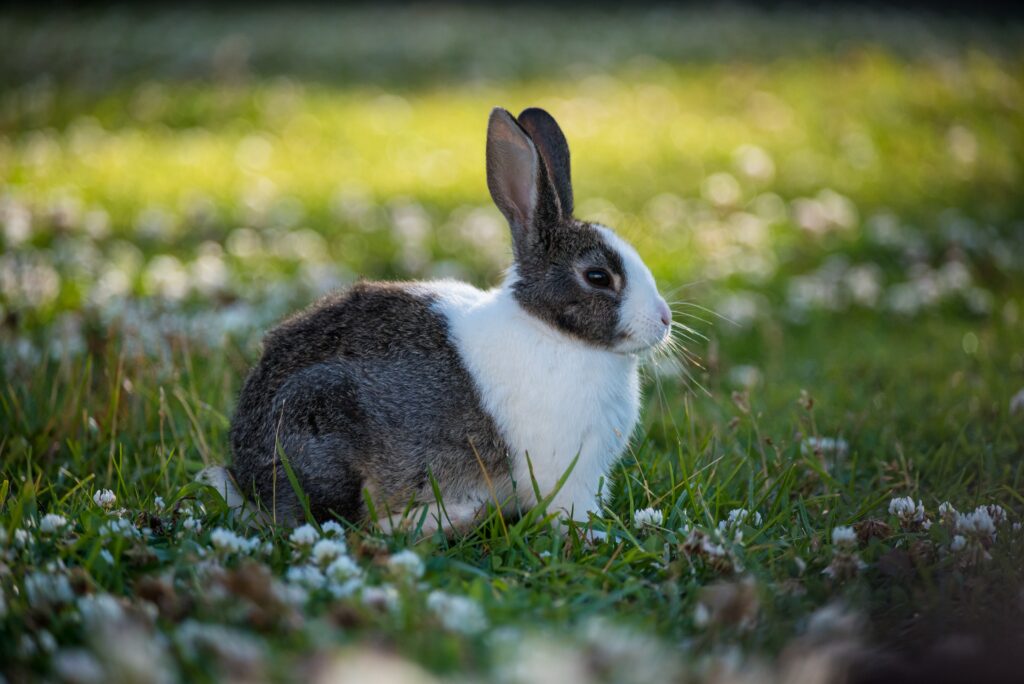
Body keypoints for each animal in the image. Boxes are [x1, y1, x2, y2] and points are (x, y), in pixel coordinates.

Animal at [210, 107, 672, 536]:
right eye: (598, 277)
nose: (665, 319)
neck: (550, 330)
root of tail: (245, 476)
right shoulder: (567, 474)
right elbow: (569, 513)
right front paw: (597, 535)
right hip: (320, 425)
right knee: (343, 522)